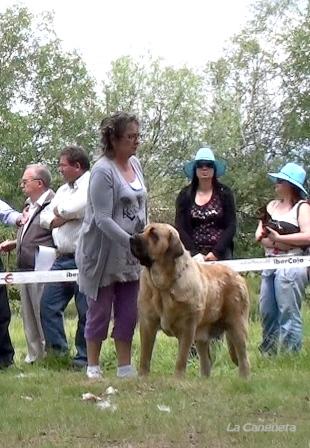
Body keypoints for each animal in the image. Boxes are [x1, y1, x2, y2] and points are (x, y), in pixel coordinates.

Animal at [130, 222, 251, 376]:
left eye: (154, 235)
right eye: (143, 231)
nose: (132, 238)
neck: (163, 286)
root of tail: (238, 276)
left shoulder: (187, 329)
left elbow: (181, 359)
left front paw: (178, 378)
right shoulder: (147, 324)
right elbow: (145, 356)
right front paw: (143, 377)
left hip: (237, 326)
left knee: (243, 358)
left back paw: (244, 377)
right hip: (203, 335)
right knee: (206, 362)